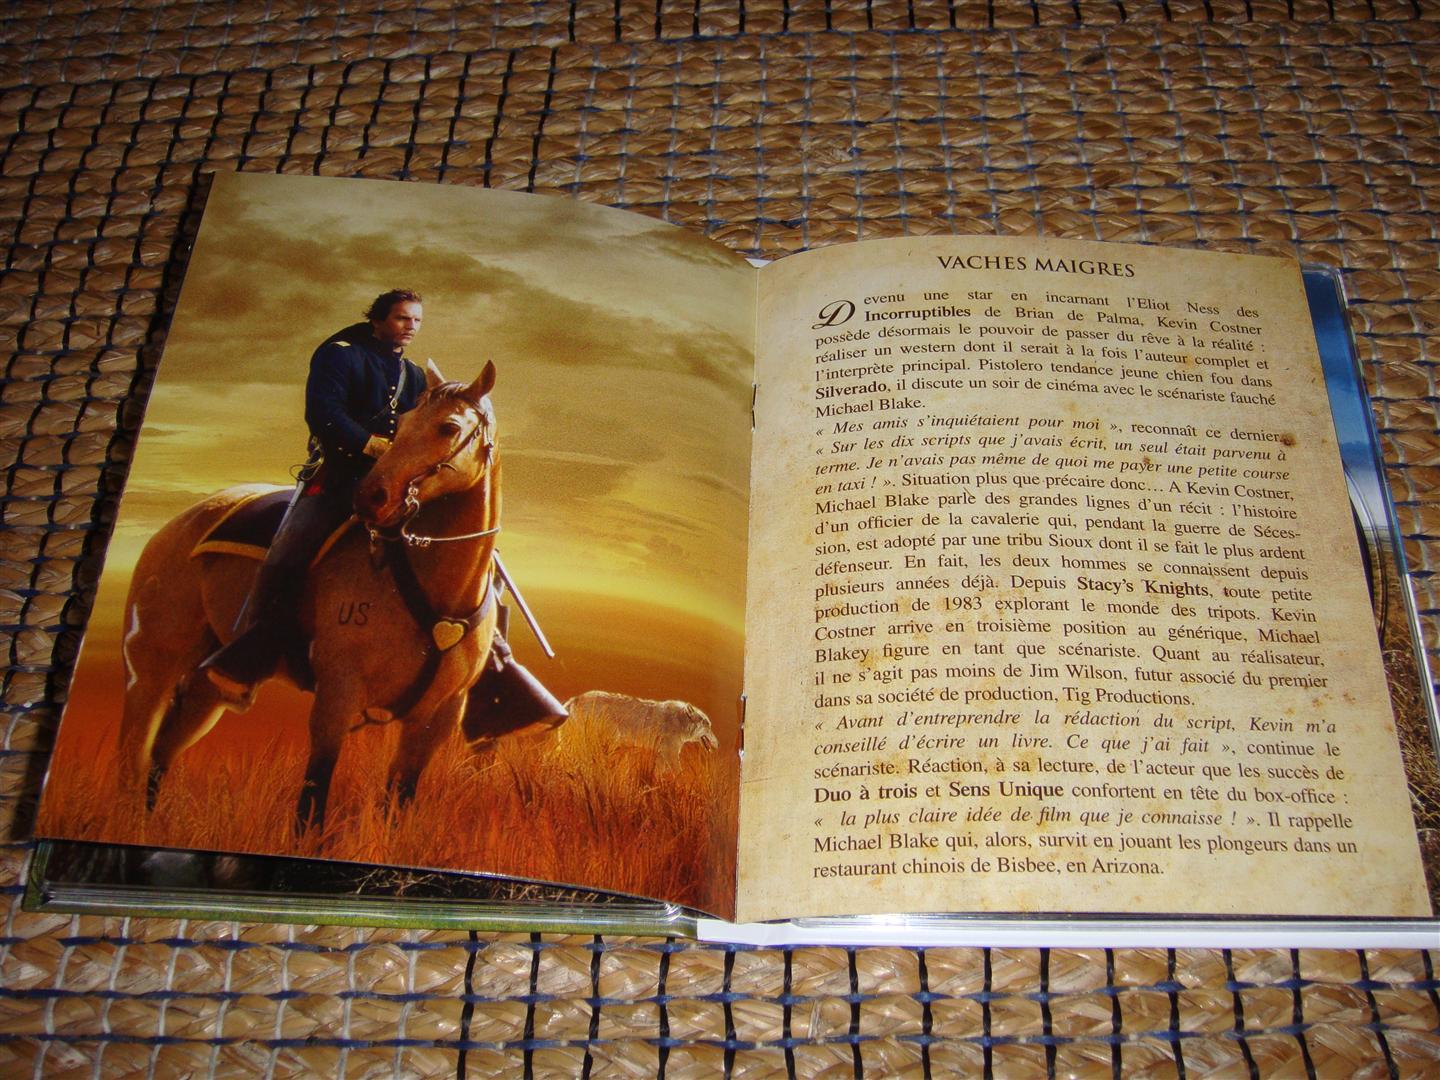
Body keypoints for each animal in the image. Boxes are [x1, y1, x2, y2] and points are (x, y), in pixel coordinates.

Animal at [118, 362, 508, 831]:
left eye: (448, 427)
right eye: (402, 425)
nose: (372, 497)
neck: (435, 590)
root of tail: (178, 524)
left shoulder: (436, 718)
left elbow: (399, 802)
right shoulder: (336, 696)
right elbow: (312, 804)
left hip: (207, 688)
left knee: (162, 752)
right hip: (150, 671)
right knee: (135, 753)